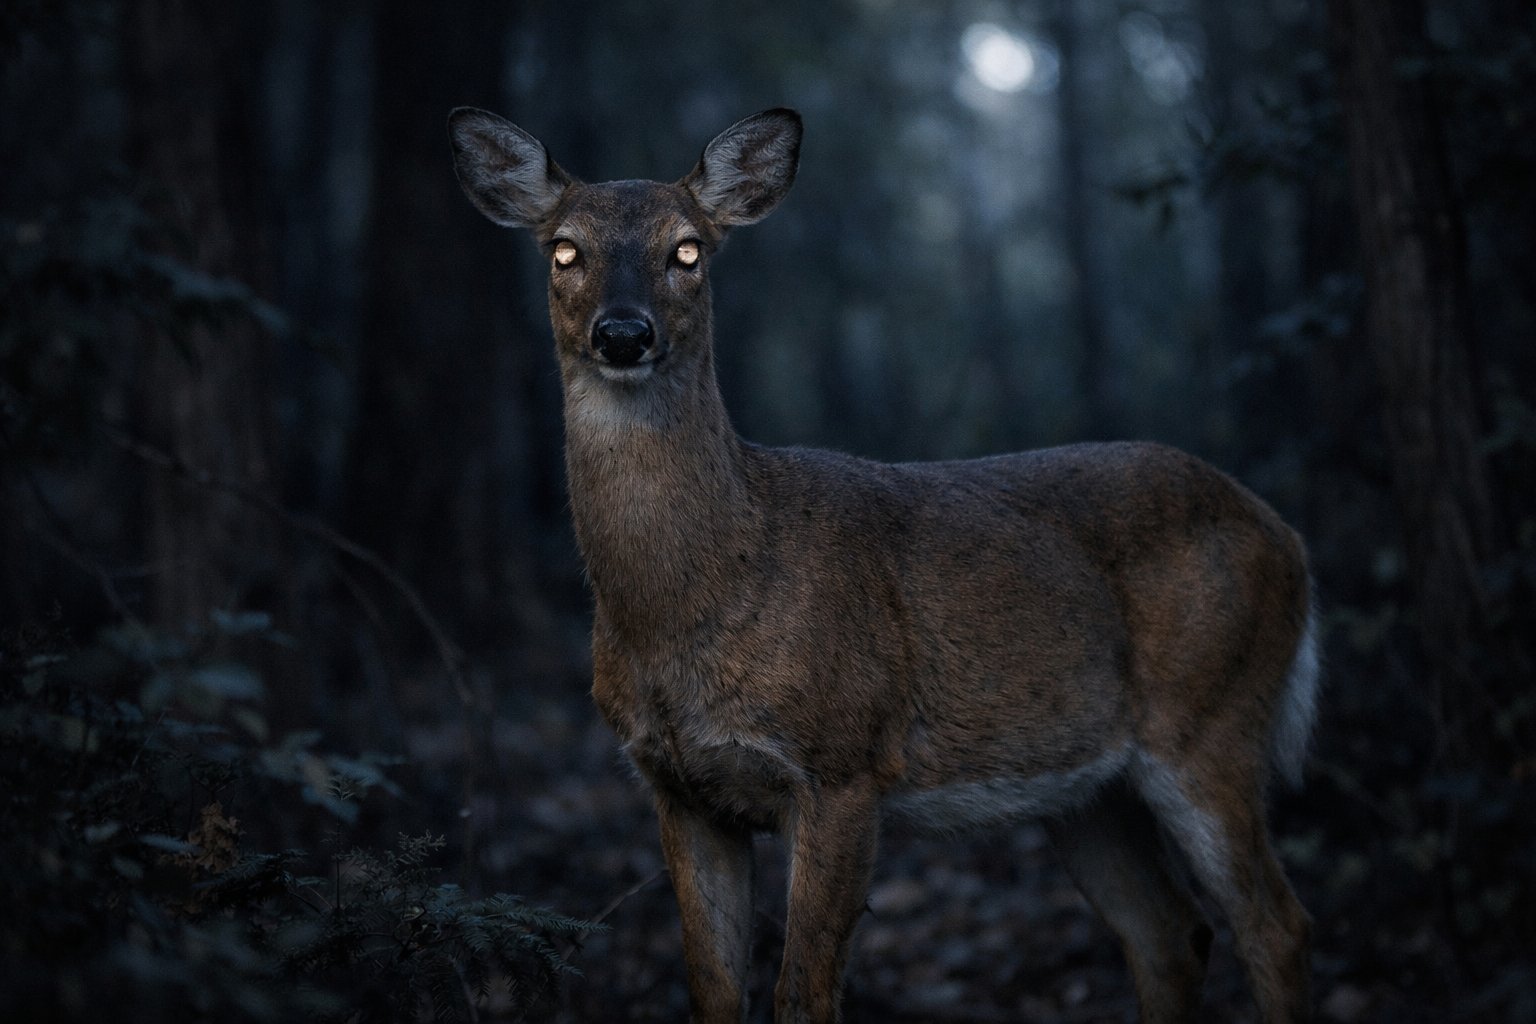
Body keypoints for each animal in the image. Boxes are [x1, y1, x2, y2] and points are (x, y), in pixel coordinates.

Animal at [448, 105, 1320, 1024]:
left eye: (687, 250)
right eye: (563, 250)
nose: (623, 333)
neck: (693, 602)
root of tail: (1286, 535)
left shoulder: (844, 763)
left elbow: (803, 996)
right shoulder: (679, 789)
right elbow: (714, 994)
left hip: (1211, 716)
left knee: (1276, 925)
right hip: (1088, 786)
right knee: (1170, 932)